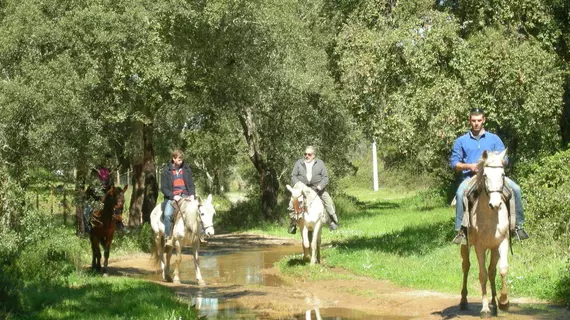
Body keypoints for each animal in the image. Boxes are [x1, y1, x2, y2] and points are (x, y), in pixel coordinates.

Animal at [458, 150, 510, 318]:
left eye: (502, 174)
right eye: (485, 175)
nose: (495, 204)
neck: (490, 217)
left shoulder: (502, 242)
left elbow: (502, 269)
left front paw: (504, 301)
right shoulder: (479, 247)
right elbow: (482, 275)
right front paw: (485, 309)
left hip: (494, 249)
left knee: (492, 271)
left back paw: (495, 304)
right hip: (465, 246)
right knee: (466, 266)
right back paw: (463, 301)